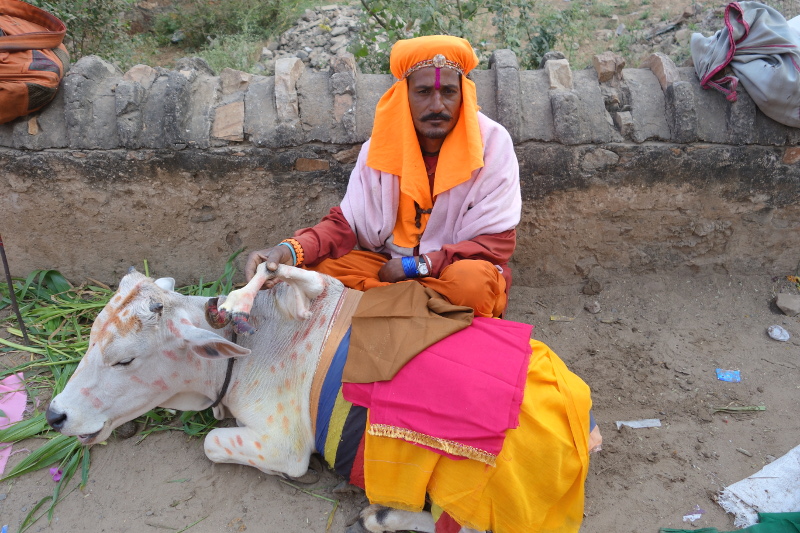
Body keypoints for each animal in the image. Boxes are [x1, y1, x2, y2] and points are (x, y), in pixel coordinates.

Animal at [47, 262, 600, 532]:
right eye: (91, 336)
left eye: (124, 360)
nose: (55, 414)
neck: (251, 346)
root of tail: (582, 429)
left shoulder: (283, 443)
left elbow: (213, 444)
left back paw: (382, 516)